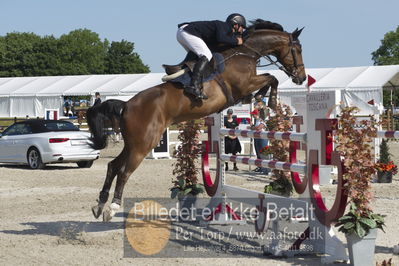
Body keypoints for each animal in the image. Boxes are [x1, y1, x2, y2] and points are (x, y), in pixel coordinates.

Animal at [86, 19, 306, 221]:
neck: (245, 52)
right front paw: (272, 100)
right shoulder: (244, 84)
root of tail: (126, 105)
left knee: (113, 166)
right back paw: (112, 207)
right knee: (123, 172)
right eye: (298, 49)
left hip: (133, 144)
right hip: (143, 144)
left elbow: (269, 78)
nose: (301, 78)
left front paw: (262, 99)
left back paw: (99, 204)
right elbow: (271, 78)